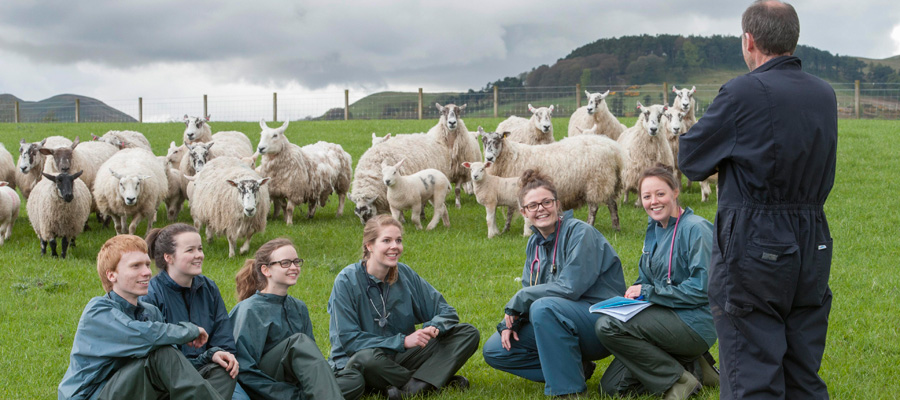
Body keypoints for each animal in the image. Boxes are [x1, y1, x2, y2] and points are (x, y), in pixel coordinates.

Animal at [478, 126, 624, 230]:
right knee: (612, 204)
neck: (511, 157)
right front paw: (506, 230)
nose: (489, 158)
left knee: (594, 207)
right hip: (606, 181)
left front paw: (507, 229)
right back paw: (616, 227)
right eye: (483, 141)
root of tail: (614, 148)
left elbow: (510, 211)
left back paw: (590, 224)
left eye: (497, 141)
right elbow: (510, 211)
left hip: (596, 181)